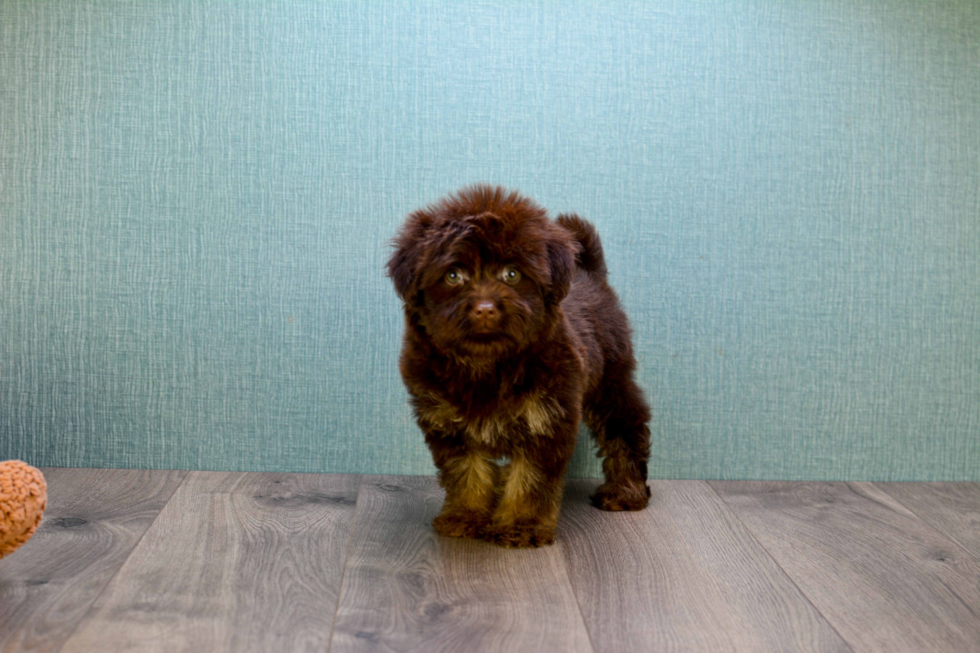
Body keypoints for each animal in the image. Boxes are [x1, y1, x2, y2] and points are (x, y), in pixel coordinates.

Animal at [388, 183, 652, 544]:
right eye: (453, 275)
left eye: (512, 273)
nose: (485, 308)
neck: (487, 363)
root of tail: (590, 275)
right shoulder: (448, 422)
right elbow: (466, 472)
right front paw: (466, 515)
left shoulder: (545, 417)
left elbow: (531, 477)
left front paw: (521, 524)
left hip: (610, 379)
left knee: (624, 427)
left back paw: (626, 490)